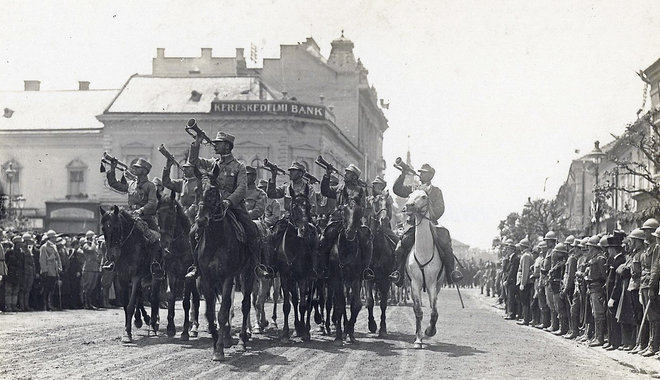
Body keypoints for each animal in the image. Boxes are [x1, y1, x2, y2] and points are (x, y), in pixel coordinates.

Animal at [99, 206, 161, 342]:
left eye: (116, 227)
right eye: (103, 228)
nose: (111, 256)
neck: (128, 248)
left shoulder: (136, 276)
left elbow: (130, 305)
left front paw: (128, 333)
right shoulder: (122, 277)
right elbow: (126, 305)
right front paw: (128, 329)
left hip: (155, 275)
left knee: (154, 297)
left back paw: (154, 322)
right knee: (140, 296)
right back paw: (141, 319)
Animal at [156, 191, 200, 340]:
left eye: (171, 214)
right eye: (158, 214)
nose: (164, 244)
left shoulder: (188, 276)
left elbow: (186, 302)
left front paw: (185, 331)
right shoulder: (171, 273)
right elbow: (170, 296)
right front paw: (170, 328)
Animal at [195, 189, 254, 360]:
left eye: (214, 194)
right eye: (197, 190)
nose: (201, 220)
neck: (215, 240)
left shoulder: (227, 278)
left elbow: (222, 313)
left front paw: (220, 349)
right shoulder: (206, 279)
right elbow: (210, 313)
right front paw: (216, 343)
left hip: (247, 274)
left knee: (245, 305)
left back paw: (242, 340)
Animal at [402, 189, 444, 348]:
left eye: (424, 196)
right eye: (409, 195)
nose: (408, 206)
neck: (423, 252)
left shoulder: (432, 284)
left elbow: (434, 311)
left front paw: (429, 331)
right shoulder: (415, 283)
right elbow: (418, 311)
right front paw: (418, 339)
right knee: (415, 308)